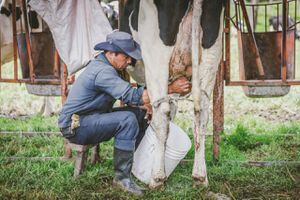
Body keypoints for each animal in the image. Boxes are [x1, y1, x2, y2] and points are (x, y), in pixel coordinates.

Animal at [120, 0, 224, 188]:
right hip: (211, 52)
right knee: (202, 115)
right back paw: (200, 177)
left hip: (156, 56)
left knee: (162, 114)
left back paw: (157, 178)